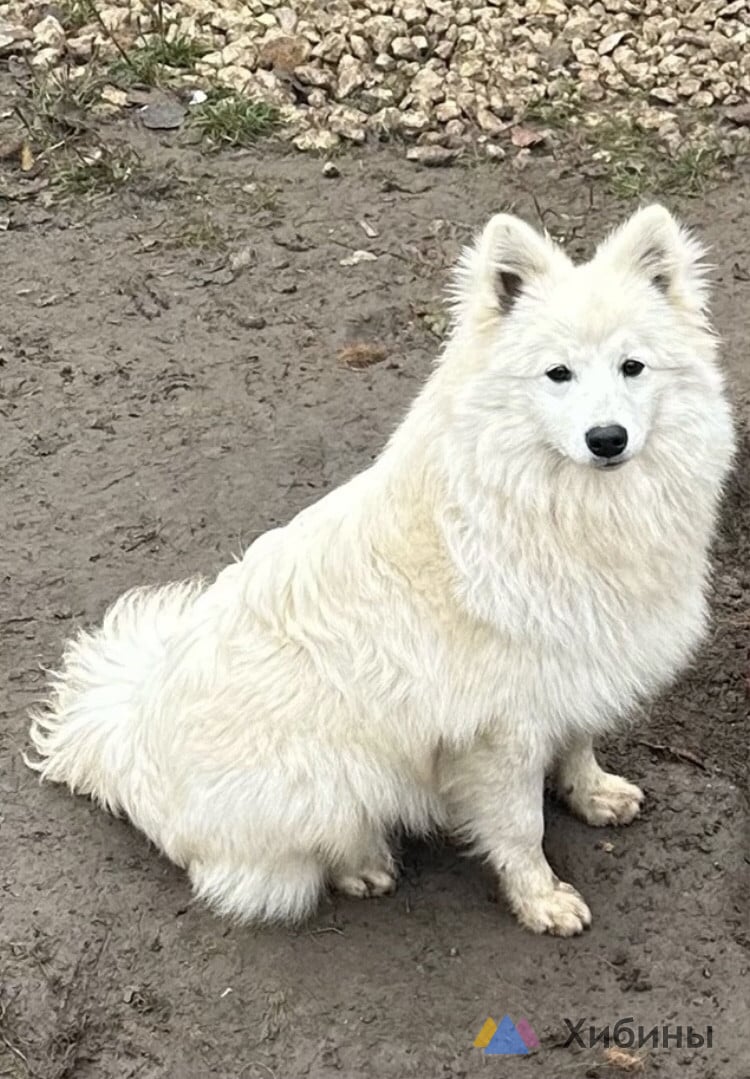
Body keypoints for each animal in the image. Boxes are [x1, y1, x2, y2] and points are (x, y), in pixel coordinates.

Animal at [26, 203, 738, 936]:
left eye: (633, 366)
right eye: (558, 374)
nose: (606, 439)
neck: (569, 507)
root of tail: (127, 737)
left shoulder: (578, 672)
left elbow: (578, 747)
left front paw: (593, 795)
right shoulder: (500, 730)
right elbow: (521, 828)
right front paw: (541, 899)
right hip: (328, 779)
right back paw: (363, 865)